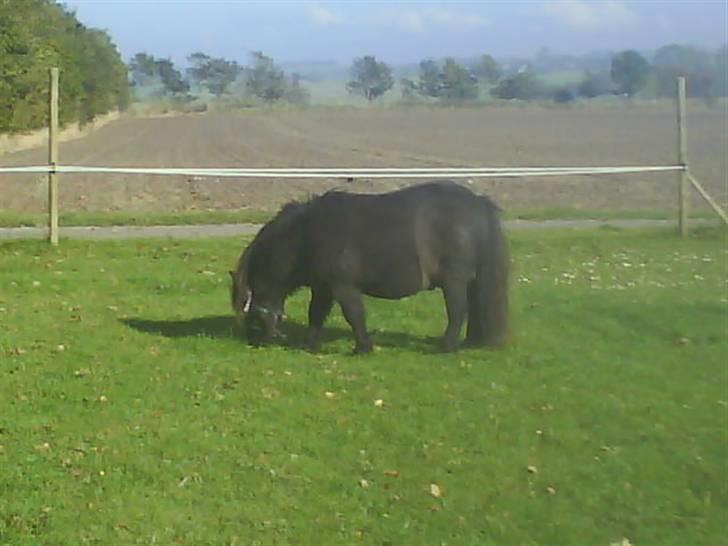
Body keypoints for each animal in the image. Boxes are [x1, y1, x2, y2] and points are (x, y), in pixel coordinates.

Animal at [230, 180, 510, 352]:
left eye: (248, 306)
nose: (254, 340)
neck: (307, 234)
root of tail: (477, 202)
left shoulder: (343, 287)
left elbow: (354, 315)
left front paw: (363, 348)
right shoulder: (324, 289)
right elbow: (316, 315)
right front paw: (310, 345)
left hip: (454, 282)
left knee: (458, 311)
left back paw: (447, 346)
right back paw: (471, 342)